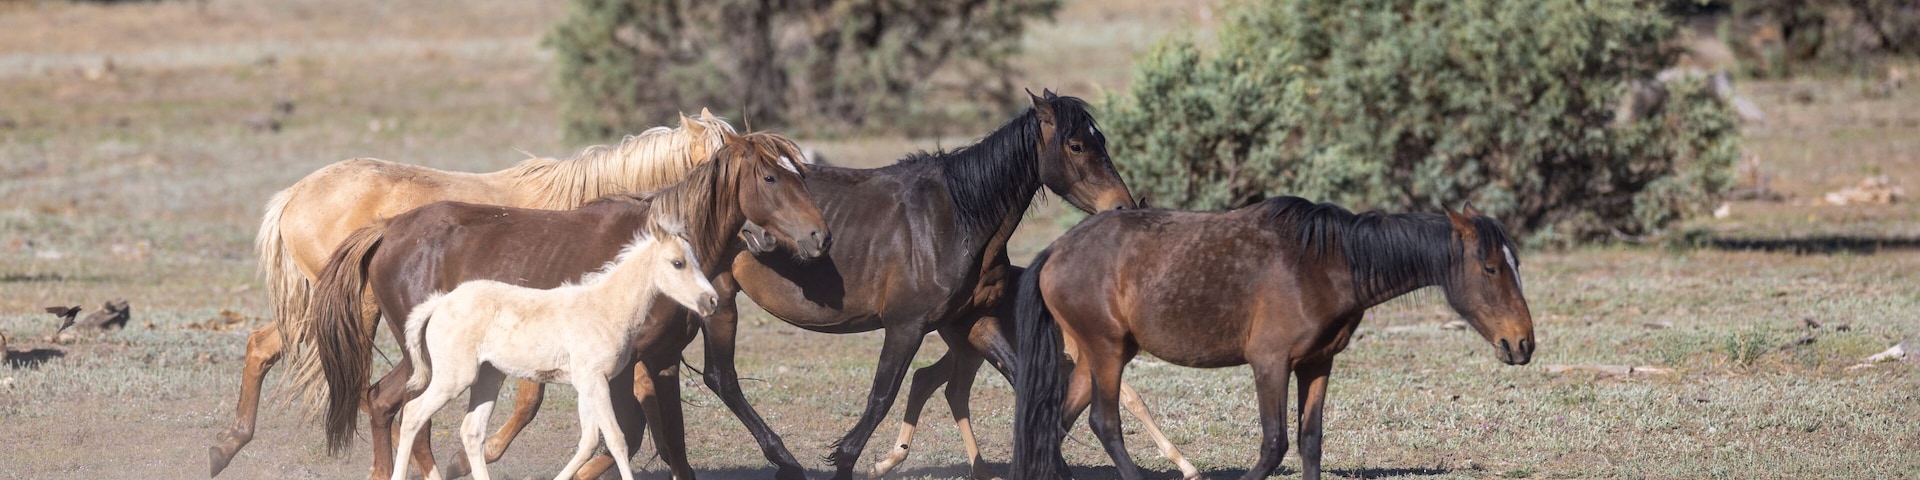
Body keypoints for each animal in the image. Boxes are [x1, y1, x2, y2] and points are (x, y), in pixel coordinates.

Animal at [391, 218, 719, 480]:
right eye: (678, 263)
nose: (712, 300)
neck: (606, 308)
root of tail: (440, 302)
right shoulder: (595, 382)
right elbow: (616, 439)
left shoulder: (587, 385)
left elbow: (589, 442)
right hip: (454, 378)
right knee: (412, 414)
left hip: (487, 377)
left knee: (472, 431)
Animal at [1011, 197, 1537, 480]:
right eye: (1491, 268)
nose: (1523, 344)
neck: (1325, 264)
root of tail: (1056, 249)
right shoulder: (1270, 363)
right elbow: (1273, 444)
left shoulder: (1317, 364)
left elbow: (1310, 441)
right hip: (1107, 352)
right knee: (1104, 423)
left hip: (1094, 355)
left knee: (1056, 426)